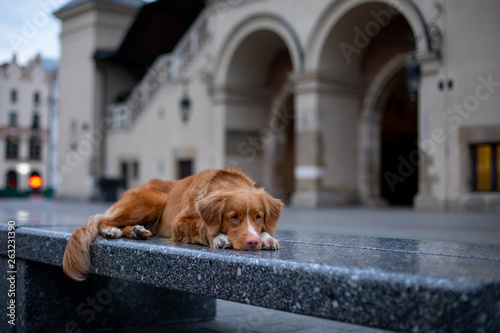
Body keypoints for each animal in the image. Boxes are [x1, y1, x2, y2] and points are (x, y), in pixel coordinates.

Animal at [63, 169, 284, 280]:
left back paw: (137, 231)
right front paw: (220, 237)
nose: (252, 243)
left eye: (259, 217)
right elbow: (203, 225)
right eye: (234, 217)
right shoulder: (179, 223)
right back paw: (111, 230)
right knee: (101, 220)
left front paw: (267, 238)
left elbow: (266, 231)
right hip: (152, 201)